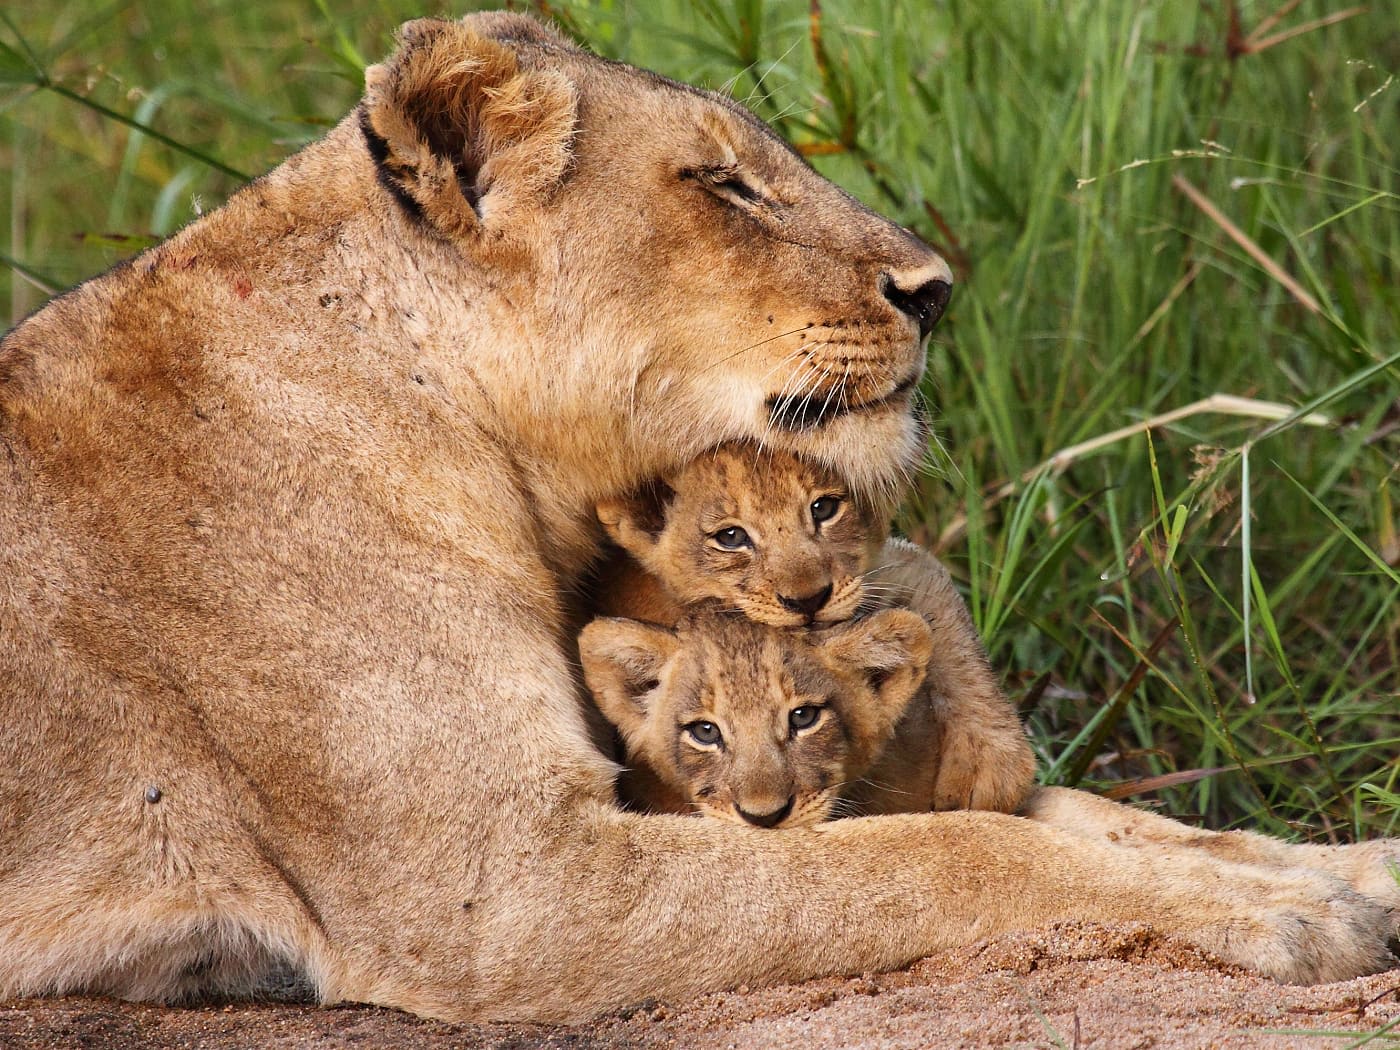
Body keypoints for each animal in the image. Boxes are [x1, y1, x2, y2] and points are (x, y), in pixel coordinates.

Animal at [589, 440, 1035, 813]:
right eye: (730, 536)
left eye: (823, 509)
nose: (808, 600)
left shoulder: (882, 576)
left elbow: (931, 587)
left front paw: (990, 766)